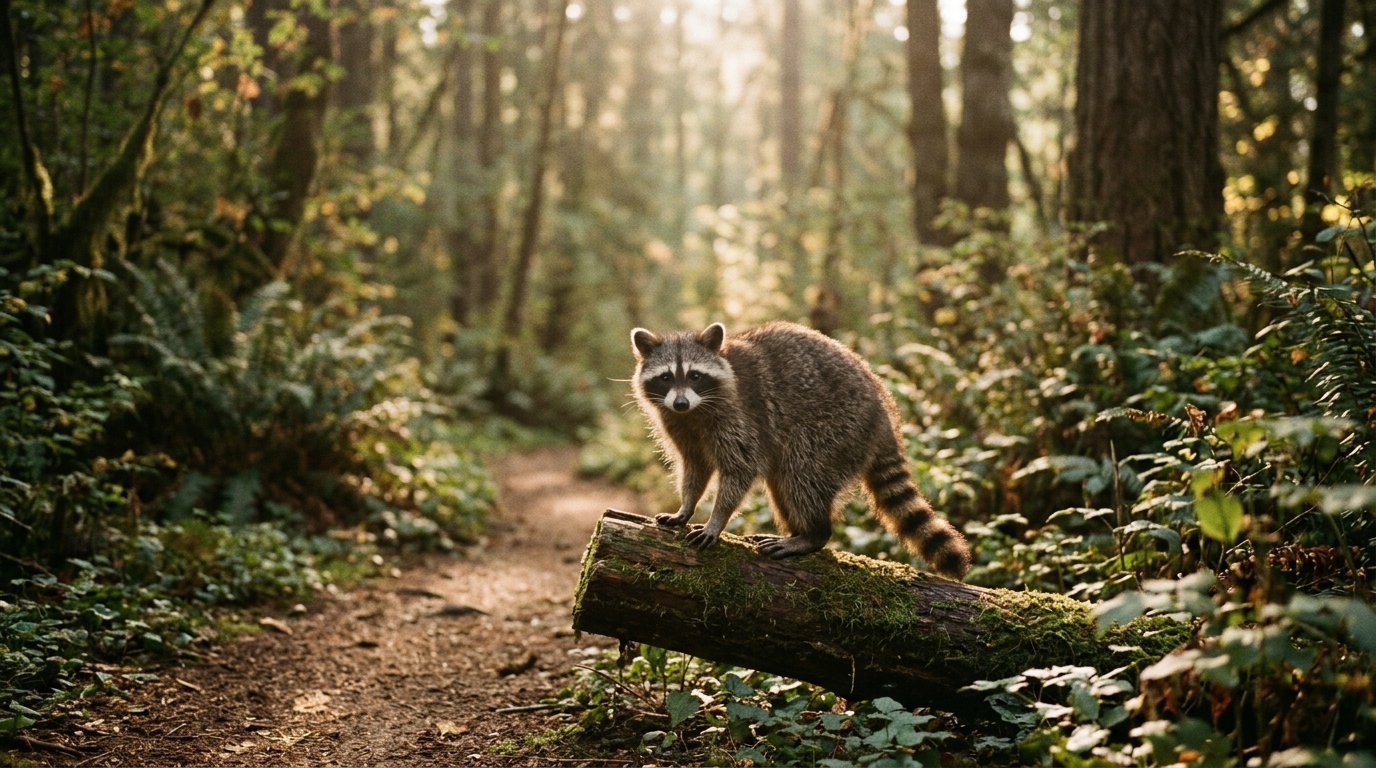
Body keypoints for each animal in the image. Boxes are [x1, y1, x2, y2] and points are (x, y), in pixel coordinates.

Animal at [630, 321, 970, 579]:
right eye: (666, 377)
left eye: (695, 376)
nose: (681, 402)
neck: (694, 412)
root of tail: (883, 414)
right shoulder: (678, 424)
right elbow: (695, 466)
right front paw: (686, 506)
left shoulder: (739, 415)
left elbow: (740, 468)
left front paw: (717, 518)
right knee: (783, 484)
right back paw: (797, 531)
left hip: (834, 428)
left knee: (803, 476)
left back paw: (812, 535)